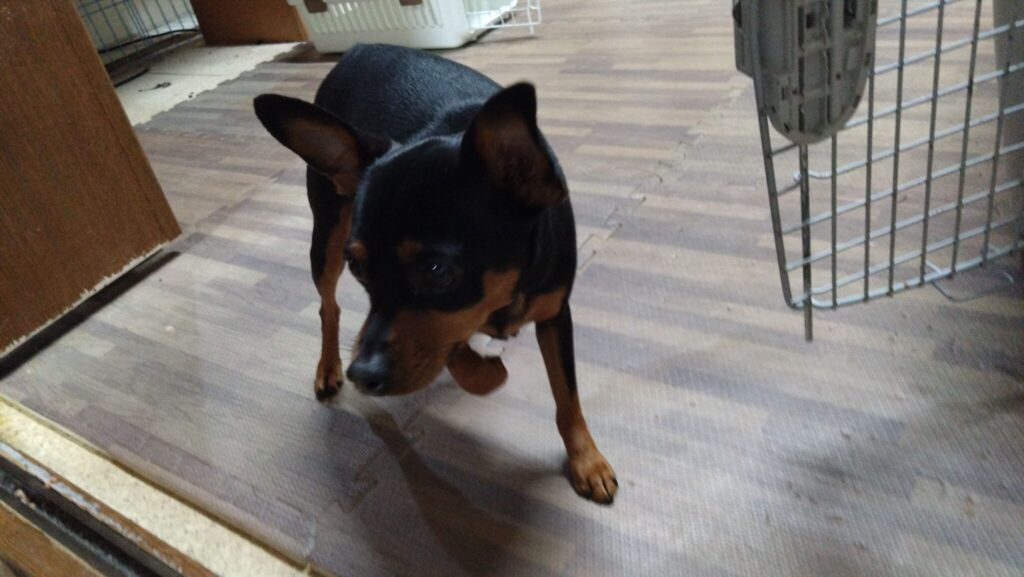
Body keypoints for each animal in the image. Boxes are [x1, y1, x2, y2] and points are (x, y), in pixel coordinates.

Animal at [254, 44, 617, 504]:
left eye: (437, 272)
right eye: (359, 268)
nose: (362, 374)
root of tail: (357, 49)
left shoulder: (555, 314)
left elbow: (566, 394)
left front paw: (587, 462)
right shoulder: (447, 326)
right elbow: (456, 351)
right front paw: (489, 372)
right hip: (326, 238)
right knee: (327, 305)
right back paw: (328, 367)